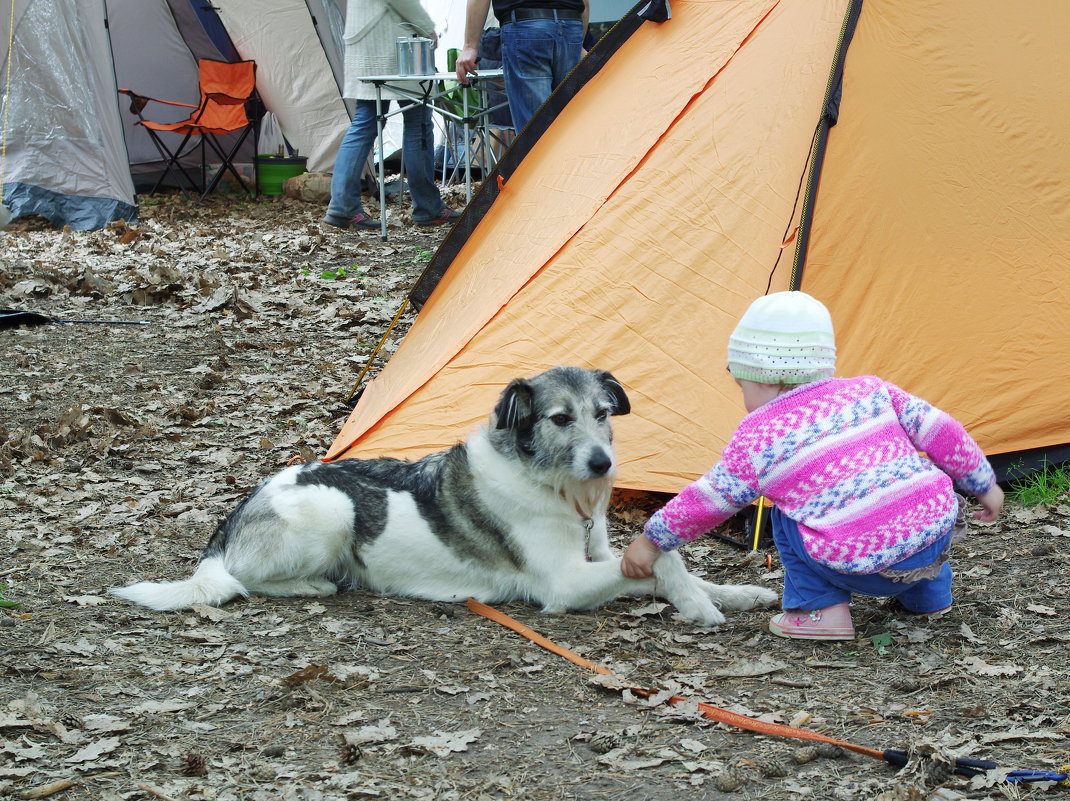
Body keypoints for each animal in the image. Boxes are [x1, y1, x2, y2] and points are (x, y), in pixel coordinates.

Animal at [108, 363, 778, 624]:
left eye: (602, 414)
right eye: (560, 418)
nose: (602, 462)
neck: (552, 488)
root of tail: (234, 518)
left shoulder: (599, 556)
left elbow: (670, 560)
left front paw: (734, 592)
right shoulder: (563, 585)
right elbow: (661, 563)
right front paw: (698, 605)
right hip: (333, 509)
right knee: (243, 580)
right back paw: (312, 584)